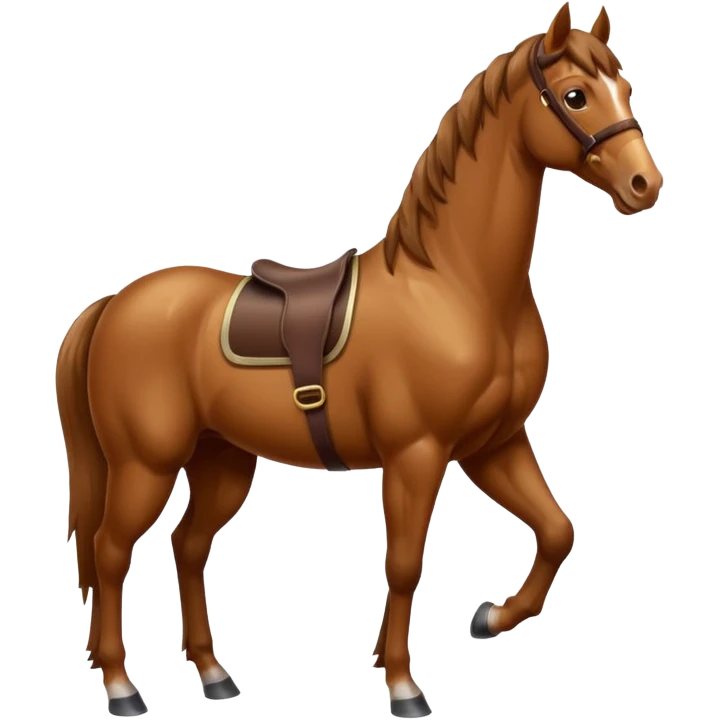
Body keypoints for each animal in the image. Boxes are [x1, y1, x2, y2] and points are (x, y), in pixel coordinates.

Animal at [56, 3, 662, 718]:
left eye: (625, 89)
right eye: (574, 96)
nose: (644, 185)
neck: (454, 286)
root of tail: (113, 306)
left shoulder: (495, 444)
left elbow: (558, 530)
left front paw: (489, 617)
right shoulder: (417, 454)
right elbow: (403, 565)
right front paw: (402, 685)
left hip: (221, 461)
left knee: (188, 547)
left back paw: (214, 675)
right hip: (144, 464)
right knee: (110, 552)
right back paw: (121, 687)